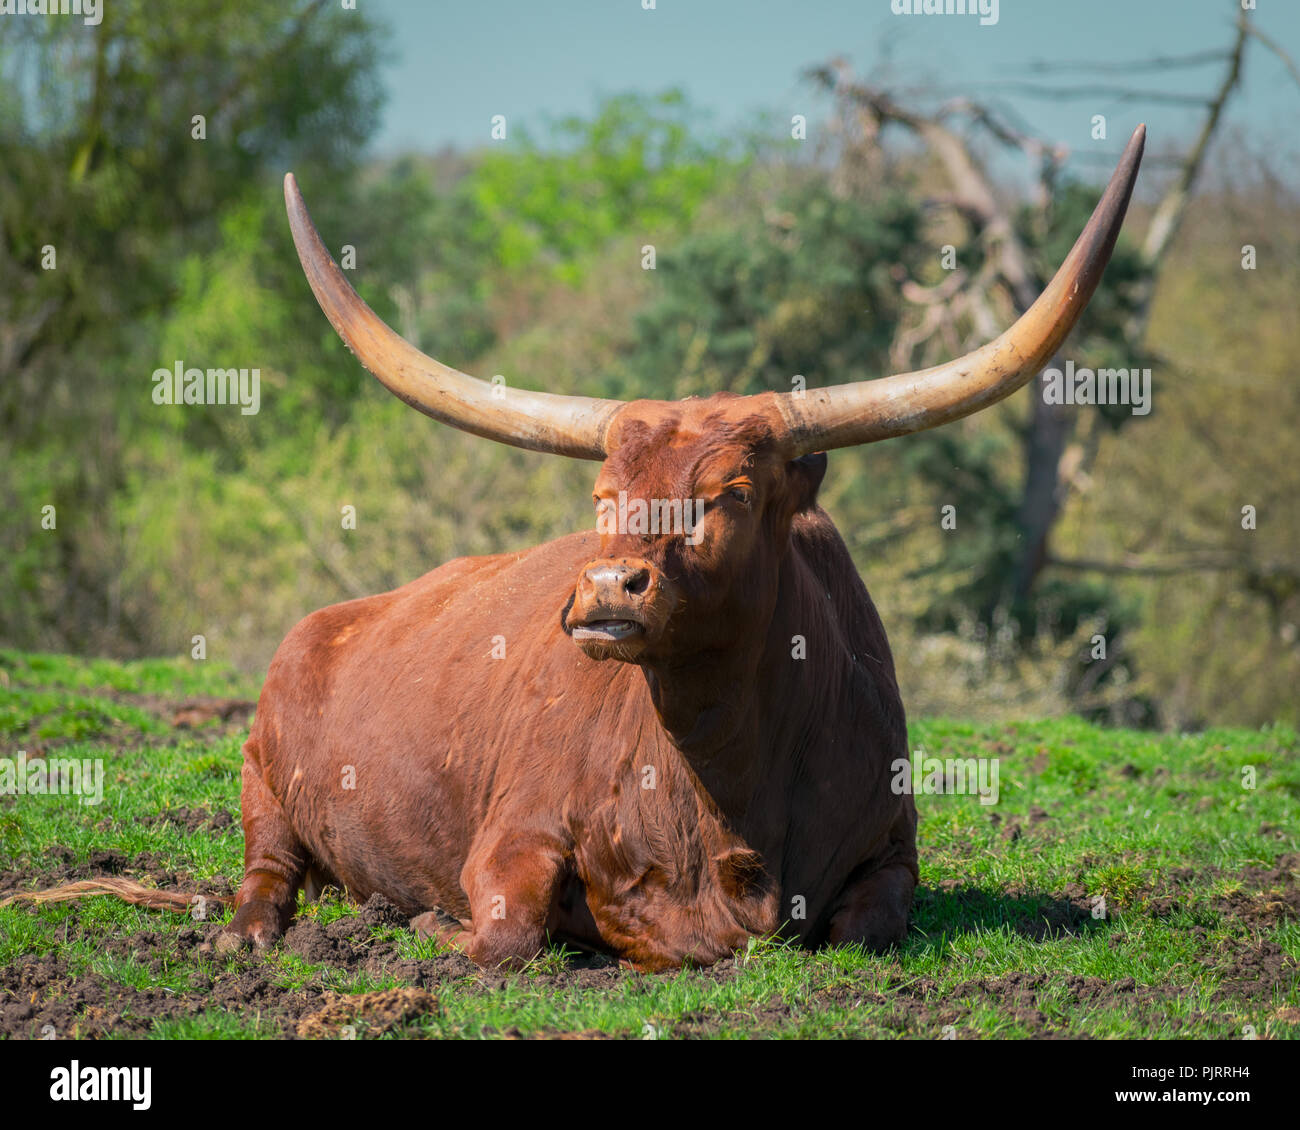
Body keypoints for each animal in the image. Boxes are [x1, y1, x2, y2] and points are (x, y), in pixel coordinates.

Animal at [218, 125, 1144, 967]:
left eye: (729, 493)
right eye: (602, 497)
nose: (605, 588)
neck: (727, 785)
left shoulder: (892, 853)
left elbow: (863, 930)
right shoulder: (514, 830)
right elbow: (506, 936)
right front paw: (431, 924)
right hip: (262, 778)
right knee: (267, 869)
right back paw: (249, 931)